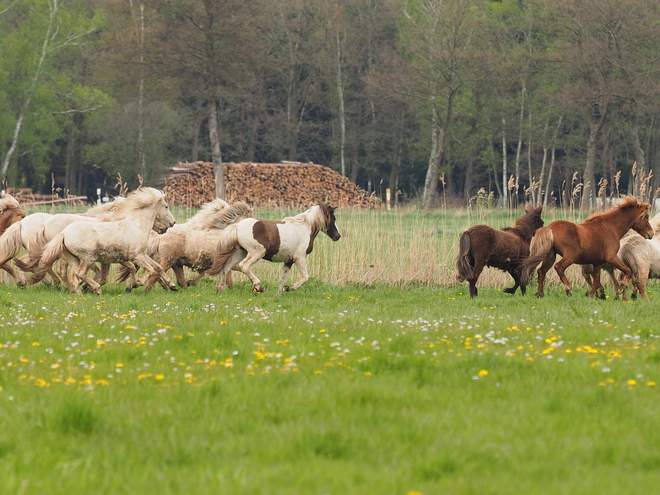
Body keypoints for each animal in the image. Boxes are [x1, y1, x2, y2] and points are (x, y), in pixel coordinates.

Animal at [27, 187, 177, 294]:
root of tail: (63, 233)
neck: (135, 224)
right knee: (77, 273)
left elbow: (157, 267)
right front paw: (136, 284)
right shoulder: (136, 256)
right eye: (166, 206)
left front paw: (171, 285)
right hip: (87, 258)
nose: (172, 223)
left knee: (74, 275)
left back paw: (79, 291)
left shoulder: (140, 255)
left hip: (74, 258)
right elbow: (149, 270)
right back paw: (93, 289)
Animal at [116, 198, 253, 290]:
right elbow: (230, 274)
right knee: (155, 274)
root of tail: (159, 236)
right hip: (167, 261)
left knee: (171, 279)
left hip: (176, 264)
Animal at [206, 204, 340, 294]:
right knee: (244, 266)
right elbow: (305, 277)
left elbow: (282, 279)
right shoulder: (300, 258)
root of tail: (238, 226)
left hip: (240, 252)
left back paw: (220, 289)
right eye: (333, 218)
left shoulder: (289, 260)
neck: (305, 228)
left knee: (226, 268)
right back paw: (258, 286)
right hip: (257, 252)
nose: (337, 236)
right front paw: (290, 288)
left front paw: (279, 294)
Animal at [520, 197, 656, 298]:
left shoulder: (597, 263)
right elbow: (627, 270)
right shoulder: (611, 257)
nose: (651, 233)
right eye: (646, 217)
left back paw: (540, 294)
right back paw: (568, 289)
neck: (610, 227)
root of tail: (550, 228)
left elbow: (596, 281)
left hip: (550, 256)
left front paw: (593, 294)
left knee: (541, 271)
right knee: (559, 267)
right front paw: (623, 285)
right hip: (571, 256)